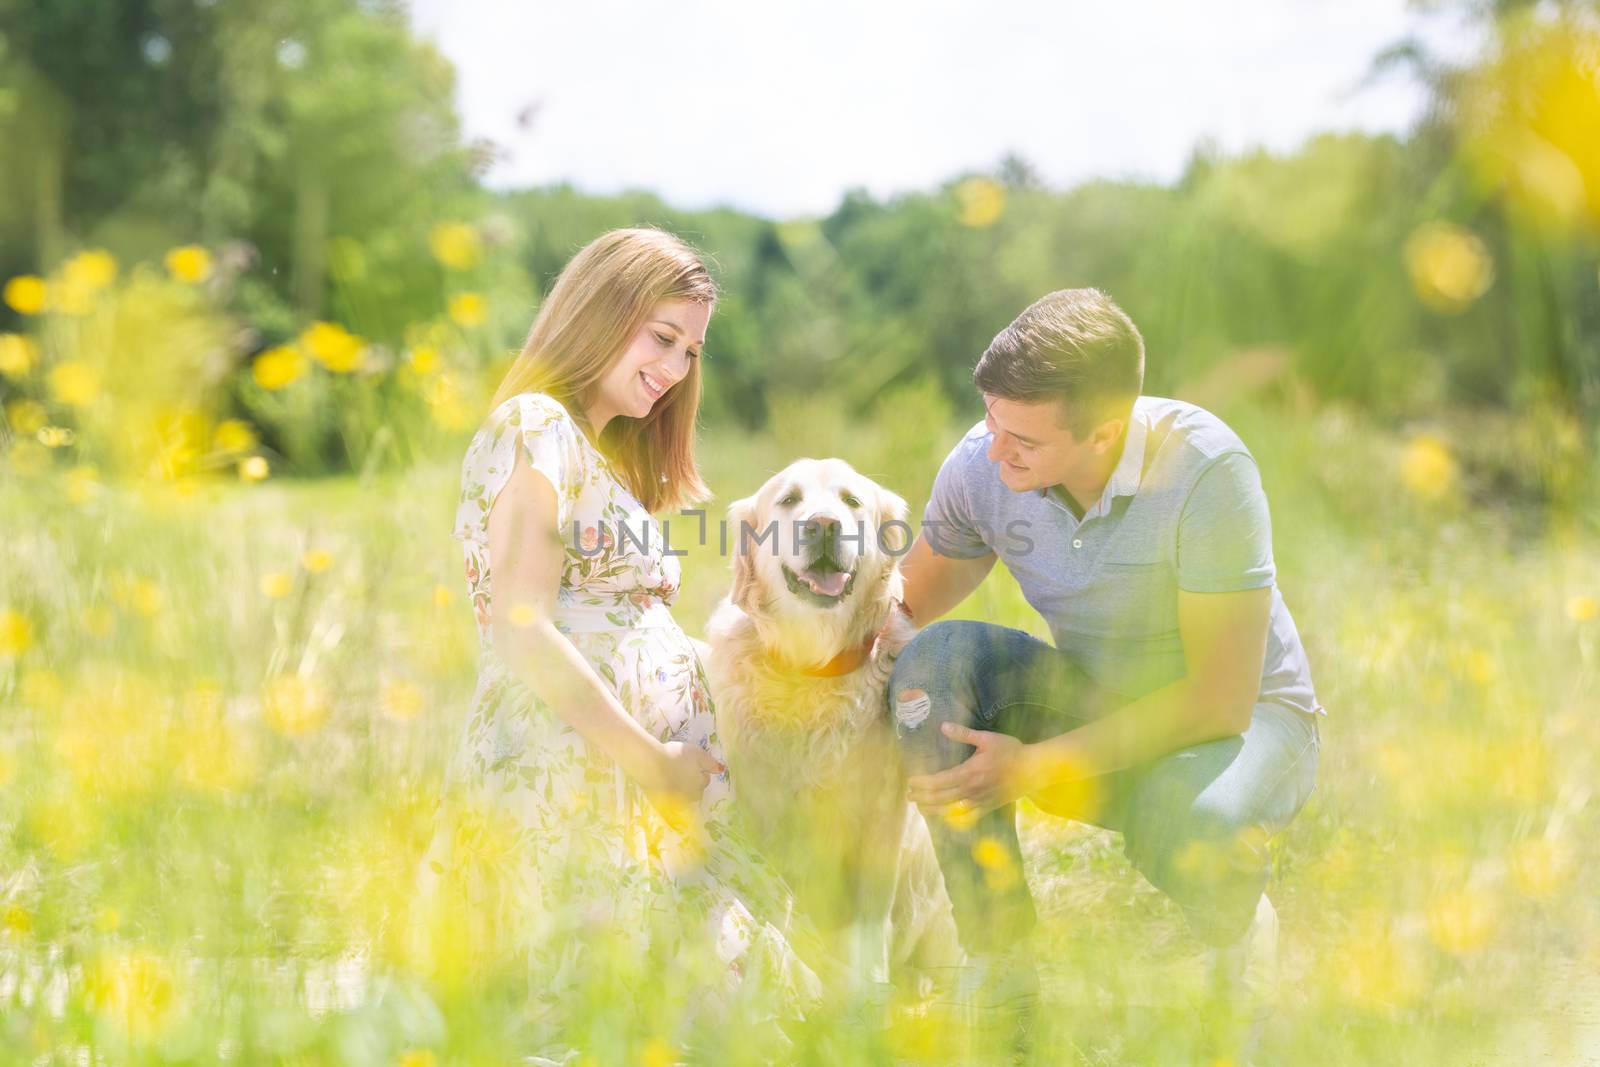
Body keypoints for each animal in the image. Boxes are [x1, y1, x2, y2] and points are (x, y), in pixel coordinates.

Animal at [710, 457, 960, 991]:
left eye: (851, 501)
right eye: (788, 500)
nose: (823, 524)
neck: (812, 668)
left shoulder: (880, 819)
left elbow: (867, 922)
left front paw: (865, 988)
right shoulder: (763, 814)